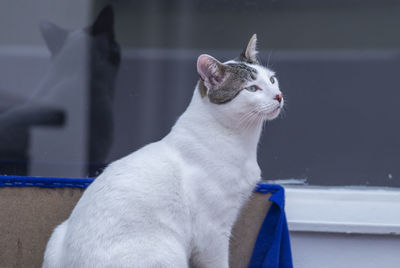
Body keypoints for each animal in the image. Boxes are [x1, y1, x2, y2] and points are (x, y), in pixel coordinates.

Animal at [42, 34, 282, 266]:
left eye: (272, 79)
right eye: (252, 88)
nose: (278, 96)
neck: (242, 141)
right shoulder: (212, 232)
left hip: (56, 234)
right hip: (169, 252)